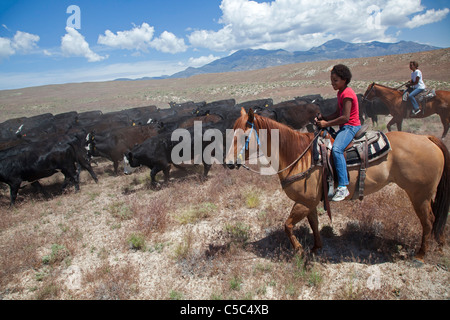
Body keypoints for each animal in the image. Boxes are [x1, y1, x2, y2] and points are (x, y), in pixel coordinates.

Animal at [227, 107, 450, 262]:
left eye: (244, 136)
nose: (228, 163)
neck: (299, 156)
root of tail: (427, 138)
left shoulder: (303, 203)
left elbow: (287, 226)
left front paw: (299, 250)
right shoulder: (308, 202)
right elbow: (314, 224)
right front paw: (316, 248)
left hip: (419, 195)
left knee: (428, 221)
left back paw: (420, 255)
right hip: (425, 195)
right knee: (434, 219)